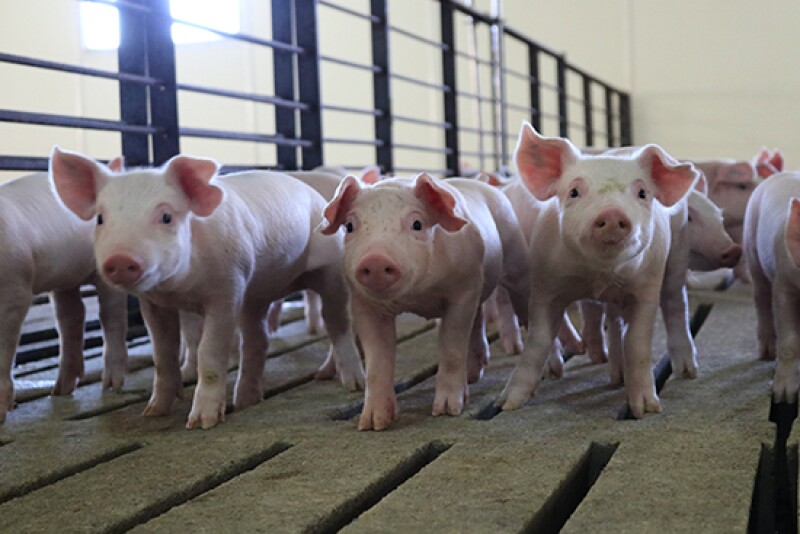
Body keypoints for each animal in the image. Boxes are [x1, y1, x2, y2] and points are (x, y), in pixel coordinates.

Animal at [0, 161, 129, 423]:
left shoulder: (15, 287)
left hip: (106, 268)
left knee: (111, 315)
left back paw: (111, 386)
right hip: (63, 278)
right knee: (71, 315)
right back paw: (59, 390)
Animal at [50, 147, 365, 429]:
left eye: (166, 216)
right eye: (100, 218)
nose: (119, 259)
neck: (180, 288)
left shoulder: (228, 287)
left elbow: (208, 351)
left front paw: (202, 422)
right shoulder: (154, 302)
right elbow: (163, 353)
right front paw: (153, 412)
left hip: (329, 270)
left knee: (337, 324)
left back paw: (351, 383)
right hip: (256, 294)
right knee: (258, 339)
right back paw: (246, 401)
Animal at [320, 173, 530, 430]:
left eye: (417, 224)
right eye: (350, 226)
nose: (376, 259)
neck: (417, 297)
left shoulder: (462, 290)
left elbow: (451, 348)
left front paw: (447, 411)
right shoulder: (364, 304)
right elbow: (377, 362)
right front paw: (372, 424)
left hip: (516, 258)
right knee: (477, 319)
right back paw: (473, 374)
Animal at [497, 123, 697, 417]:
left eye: (642, 193)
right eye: (574, 192)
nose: (613, 214)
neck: (599, 275)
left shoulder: (646, 287)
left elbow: (637, 342)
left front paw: (646, 409)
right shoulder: (545, 284)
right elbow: (538, 339)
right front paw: (507, 404)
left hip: (678, 250)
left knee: (675, 302)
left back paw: (687, 372)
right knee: (612, 320)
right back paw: (613, 373)